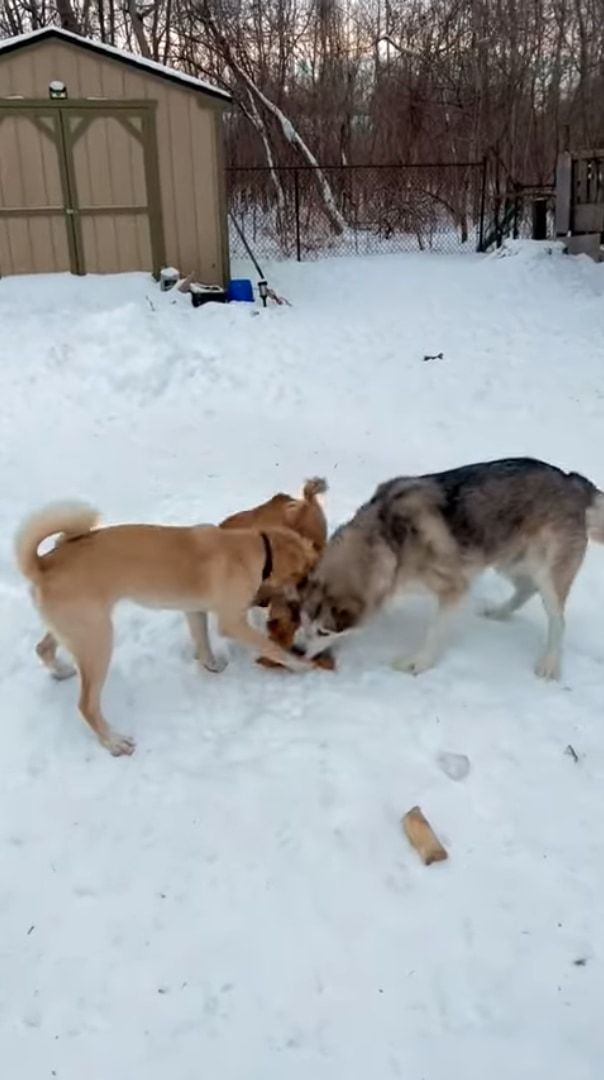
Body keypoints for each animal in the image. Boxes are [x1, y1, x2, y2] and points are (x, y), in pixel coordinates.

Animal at [14, 501, 317, 756]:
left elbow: (203, 644)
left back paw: (61, 670)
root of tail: (43, 564)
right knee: (86, 705)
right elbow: (271, 647)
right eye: (303, 579)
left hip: (77, 630)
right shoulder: (231, 623)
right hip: (97, 641)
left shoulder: (195, 611)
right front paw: (300, 664)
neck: (259, 549)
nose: (303, 606)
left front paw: (211, 665)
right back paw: (114, 741)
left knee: (42, 648)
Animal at [298, 457, 604, 678]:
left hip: (548, 573)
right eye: (302, 618)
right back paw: (500, 612)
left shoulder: (454, 588)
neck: (388, 541)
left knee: (558, 620)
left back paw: (549, 664)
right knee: (526, 587)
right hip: (508, 558)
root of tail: (572, 481)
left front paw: (418, 663)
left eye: (324, 631)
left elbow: (435, 632)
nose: (297, 650)